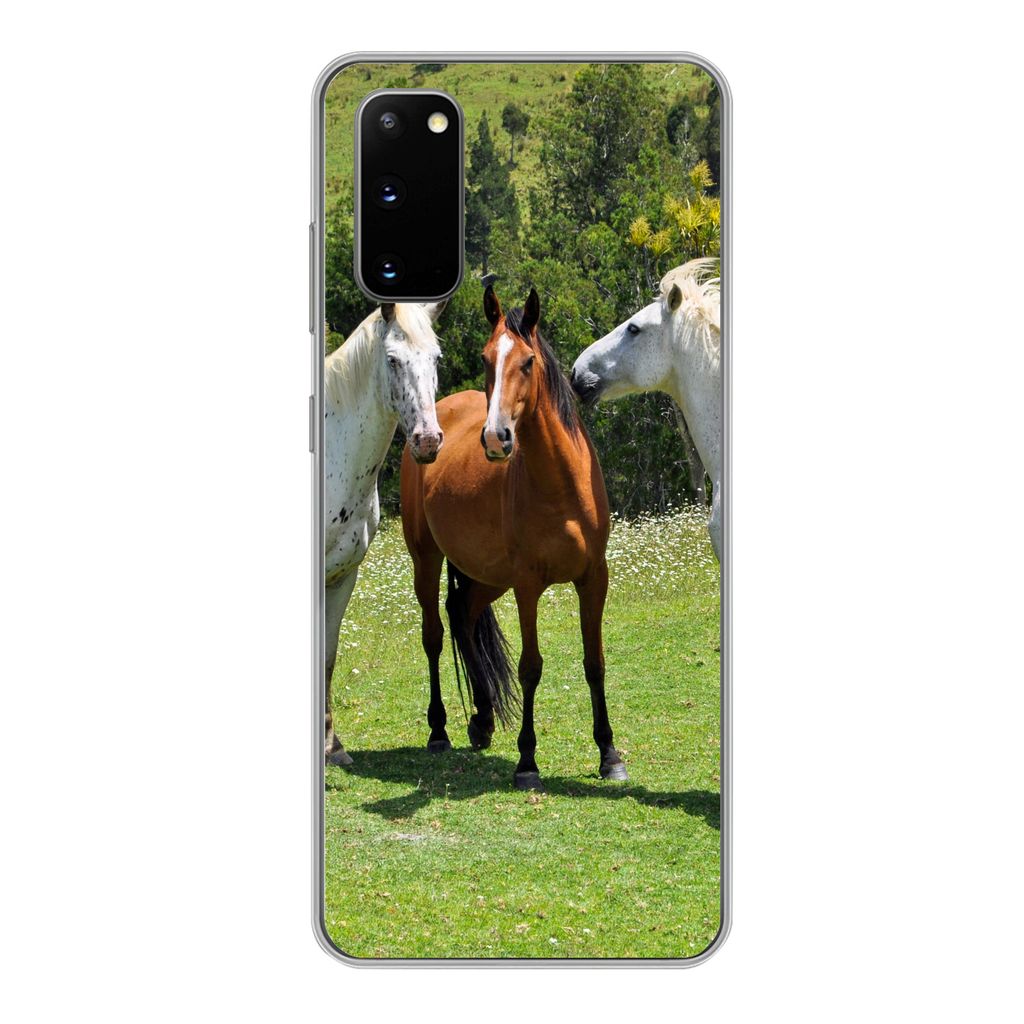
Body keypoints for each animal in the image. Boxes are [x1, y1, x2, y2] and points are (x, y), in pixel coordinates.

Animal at [324, 300, 446, 765]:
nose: (428, 440)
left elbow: (327, 655)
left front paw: (332, 746)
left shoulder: (343, 576)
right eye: (392, 360)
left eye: (436, 359)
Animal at [400, 285, 627, 791]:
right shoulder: (527, 586)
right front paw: (527, 762)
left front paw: (609, 754)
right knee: (434, 635)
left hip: (488, 576)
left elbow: (595, 662)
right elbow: (531, 668)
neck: (561, 485)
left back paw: (482, 720)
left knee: (463, 613)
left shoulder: (593, 579)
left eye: (527, 361)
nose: (495, 438)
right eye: (486, 358)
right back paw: (439, 730)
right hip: (427, 558)